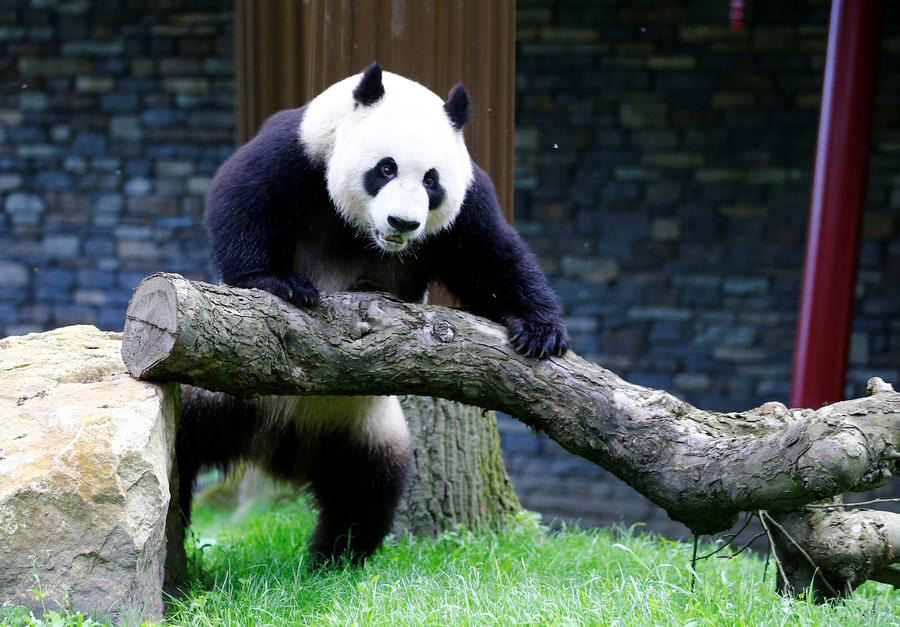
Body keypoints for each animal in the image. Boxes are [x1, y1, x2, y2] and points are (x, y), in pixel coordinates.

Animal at [178, 62, 568, 564]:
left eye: (431, 180)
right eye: (385, 168)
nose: (402, 223)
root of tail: (281, 445)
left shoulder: (468, 199)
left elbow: (492, 258)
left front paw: (540, 328)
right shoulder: (300, 149)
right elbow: (242, 198)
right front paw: (277, 282)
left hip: (366, 426)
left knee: (368, 492)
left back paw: (331, 561)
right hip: (222, 394)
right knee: (182, 442)